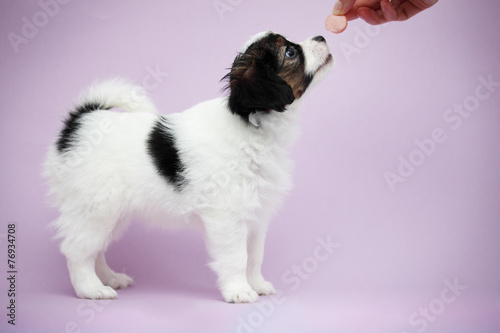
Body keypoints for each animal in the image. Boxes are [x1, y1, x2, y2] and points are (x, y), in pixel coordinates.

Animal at [43, 30, 332, 300]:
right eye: (290, 53)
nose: (321, 36)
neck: (251, 123)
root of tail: (80, 121)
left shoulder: (256, 216)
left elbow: (254, 255)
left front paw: (257, 285)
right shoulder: (227, 217)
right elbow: (236, 257)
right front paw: (239, 291)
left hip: (112, 215)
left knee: (96, 248)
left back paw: (110, 278)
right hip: (95, 209)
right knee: (78, 251)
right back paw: (91, 289)